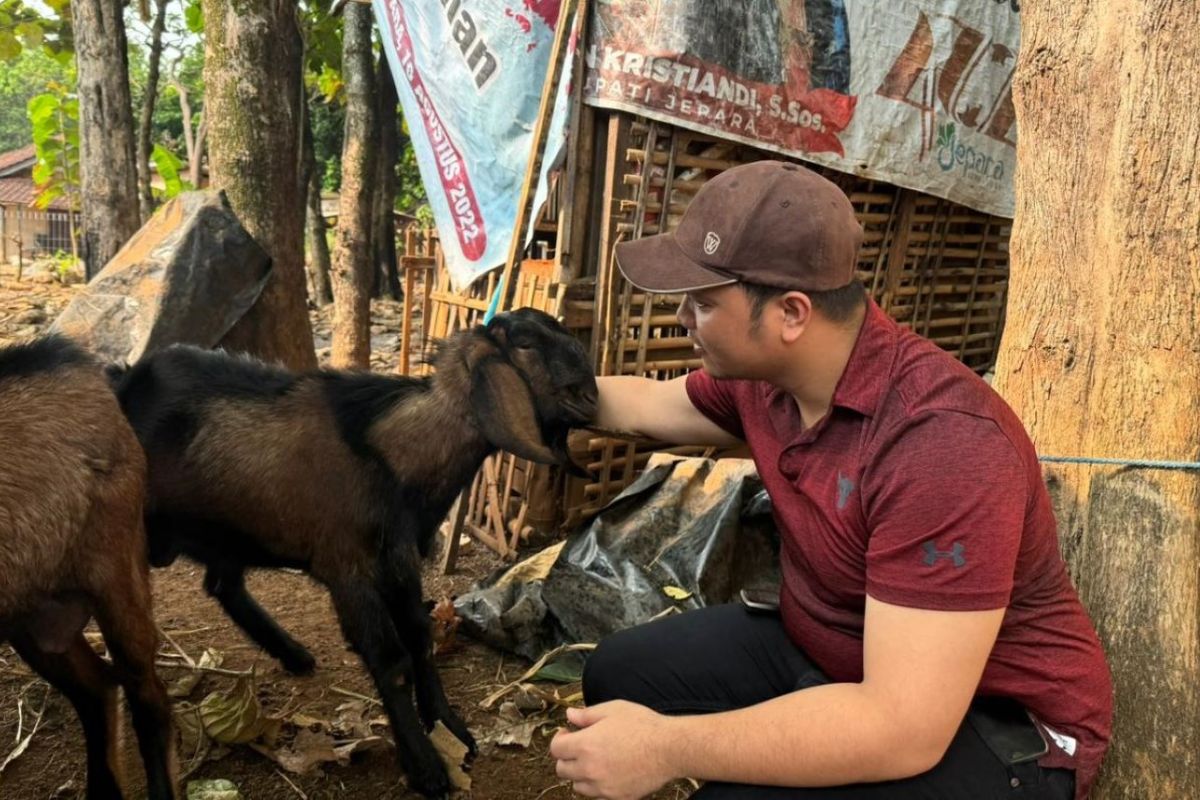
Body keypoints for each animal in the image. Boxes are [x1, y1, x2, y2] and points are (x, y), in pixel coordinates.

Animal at [110, 309, 597, 796]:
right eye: (526, 344)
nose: (592, 398)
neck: (389, 455)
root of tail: (124, 380)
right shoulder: (348, 568)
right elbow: (390, 659)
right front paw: (425, 766)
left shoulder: (399, 560)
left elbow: (420, 636)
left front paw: (450, 727)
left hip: (230, 529)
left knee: (221, 584)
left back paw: (294, 654)